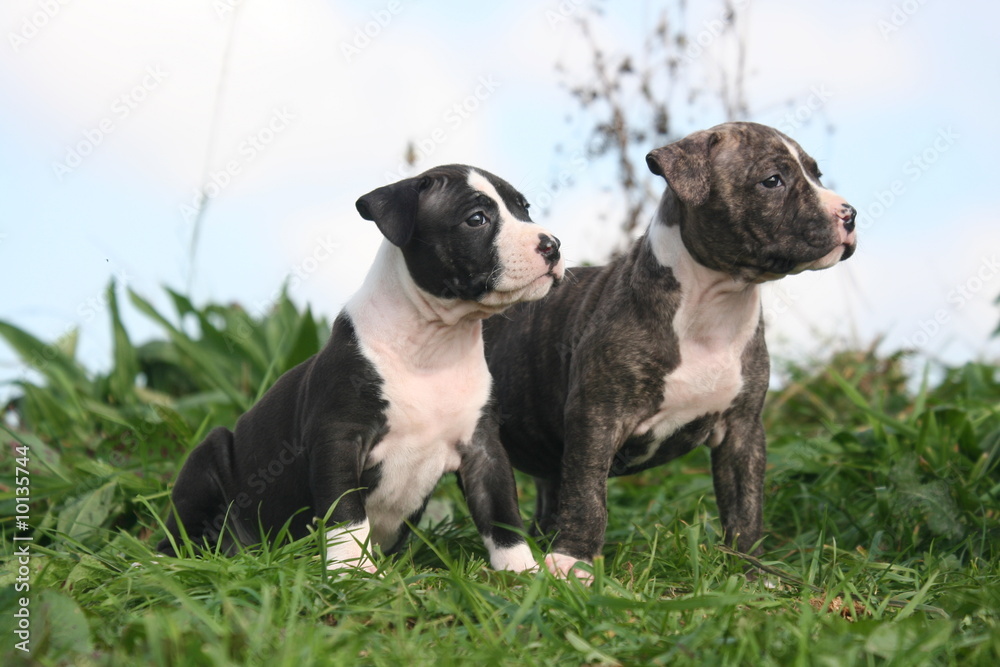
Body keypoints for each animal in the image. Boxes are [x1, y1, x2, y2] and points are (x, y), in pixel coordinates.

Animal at [156, 164, 564, 572]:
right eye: (476, 219)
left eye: (524, 209)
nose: (552, 245)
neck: (434, 343)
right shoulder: (339, 437)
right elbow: (346, 512)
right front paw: (352, 571)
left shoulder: (483, 448)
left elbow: (501, 512)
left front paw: (524, 571)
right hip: (207, 459)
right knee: (180, 535)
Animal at [480, 121, 856, 580]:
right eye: (773, 180)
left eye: (816, 174)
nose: (849, 214)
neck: (715, 307)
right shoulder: (597, 417)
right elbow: (587, 494)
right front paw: (575, 561)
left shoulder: (743, 430)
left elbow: (745, 505)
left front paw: (749, 570)